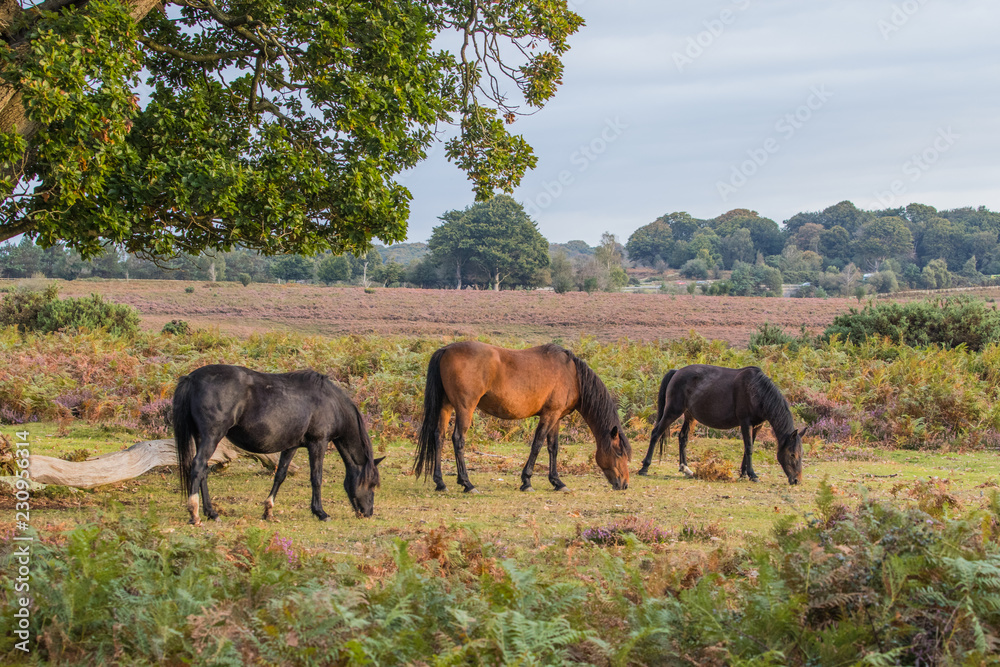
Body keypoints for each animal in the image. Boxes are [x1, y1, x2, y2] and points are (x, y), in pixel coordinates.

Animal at [172, 364, 383, 525]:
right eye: (372, 483)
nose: (368, 513)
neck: (330, 403)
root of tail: (191, 378)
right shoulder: (318, 443)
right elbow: (316, 477)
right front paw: (320, 512)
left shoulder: (291, 446)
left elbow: (280, 475)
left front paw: (268, 510)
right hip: (212, 437)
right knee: (198, 466)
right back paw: (194, 513)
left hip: (201, 437)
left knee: (203, 471)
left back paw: (211, 512)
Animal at [414, 342, 631, 493]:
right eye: (619, 452)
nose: (624, 484)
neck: (573, 375)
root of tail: (446, 349)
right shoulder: (549, 415)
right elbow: (537, 444)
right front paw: (526, 481)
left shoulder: (556, 416)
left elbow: (553, 447)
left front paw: (557, 482)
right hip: (465, 408)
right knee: (458, 440)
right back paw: (467, 483)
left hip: (446, 406)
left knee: (438, 437)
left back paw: (440, 482)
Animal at [637, 364, 803, 485]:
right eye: (792, 454)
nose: (796, 480)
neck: (756, 390)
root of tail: (677, 372)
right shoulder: (745, 423)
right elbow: (749, 448)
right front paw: (753, 475)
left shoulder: (757, 426)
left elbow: (747, 447)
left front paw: (744, 473)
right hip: (673, 411)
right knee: (656, 433)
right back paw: (645, 467)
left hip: (689, 415)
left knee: (683, 437)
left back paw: (685, 468)